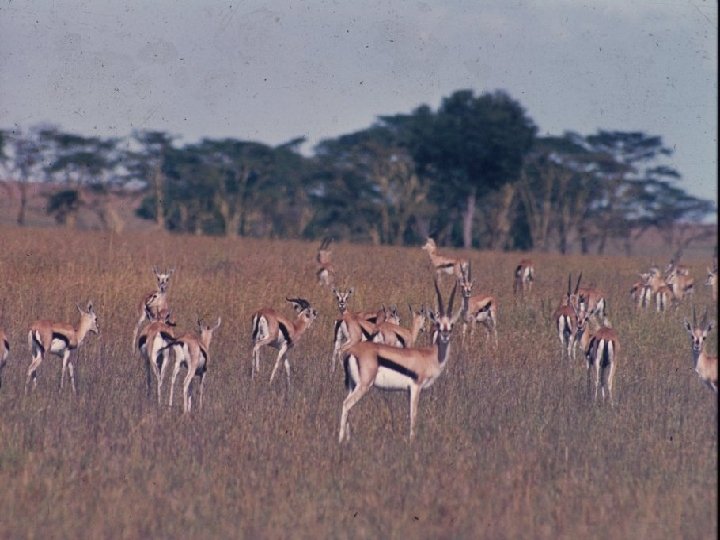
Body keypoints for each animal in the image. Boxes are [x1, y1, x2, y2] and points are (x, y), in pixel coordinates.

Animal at [338, 279, 460, 442]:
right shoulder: (416, 387)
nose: (445, 335)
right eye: (438, 324)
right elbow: (413, 416)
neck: (429, 355)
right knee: (346, 404)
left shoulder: (408, 391)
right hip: (363, 385)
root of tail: (352, 351)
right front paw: (412, 441)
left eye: (451, 324)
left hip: (352, 385)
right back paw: (340, 441)